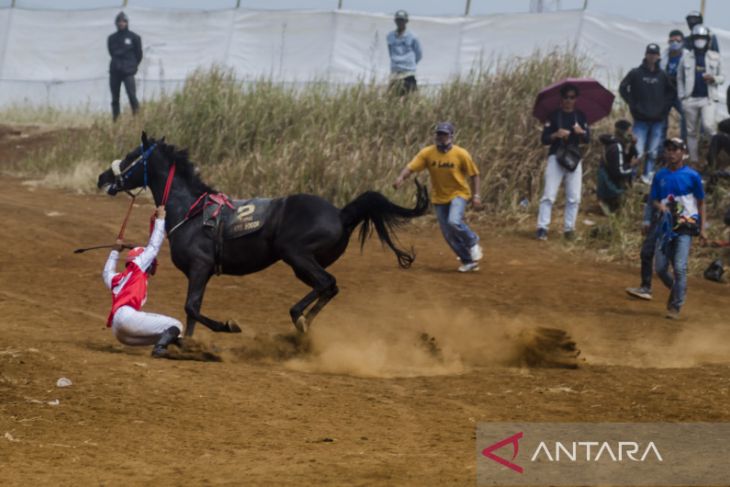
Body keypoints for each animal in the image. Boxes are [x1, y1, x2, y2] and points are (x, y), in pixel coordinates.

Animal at [96, 133, 426, 340]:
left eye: (132, 156)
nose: (102, 177)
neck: (191, 210)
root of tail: (340, 214)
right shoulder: (199, 272)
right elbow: (191, 312)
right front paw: (188, 343)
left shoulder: (200, 267)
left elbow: (191, 307)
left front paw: (228, 326)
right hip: (302, 263)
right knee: (329, 287)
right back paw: (304, 328)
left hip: (296, 254)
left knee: (325, 283)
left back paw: (299, 318)